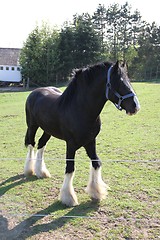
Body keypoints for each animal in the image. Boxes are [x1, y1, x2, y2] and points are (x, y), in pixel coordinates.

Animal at [24, 61, 140, 206]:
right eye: (119, 82)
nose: (135, 106)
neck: (80, 109)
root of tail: (34, 92)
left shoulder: (91, 141)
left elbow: (96, 163)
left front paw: (96, 192)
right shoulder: (71, 144)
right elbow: (70, 168)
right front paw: (68, 197)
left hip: (47, 130)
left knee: (41, 144)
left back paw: (41, 172)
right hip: (32, 126)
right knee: (31, 144)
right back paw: (29, 170)